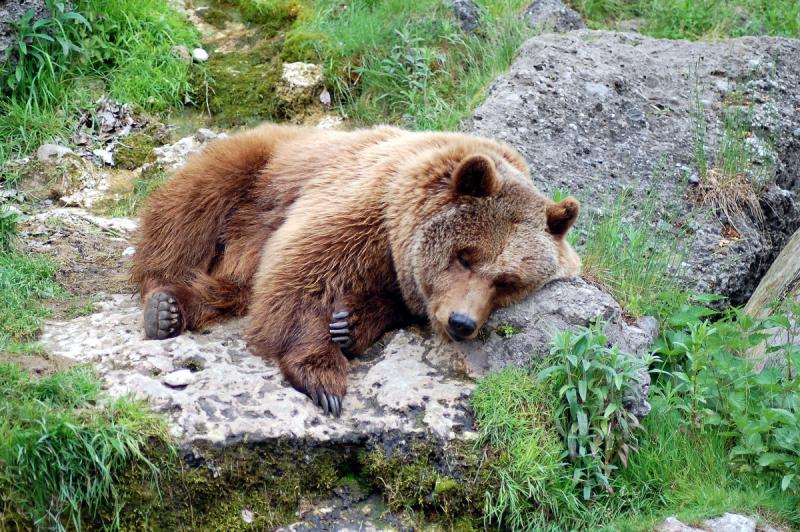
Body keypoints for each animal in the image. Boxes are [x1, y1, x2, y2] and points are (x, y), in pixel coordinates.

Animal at [133, 123, 580, 416]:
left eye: (507, 282)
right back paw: (163, 303)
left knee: (236, 286)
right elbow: (302, 274)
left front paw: (349, 324)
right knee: (190, 211)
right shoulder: (364, 203)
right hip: (258, 174)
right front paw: (323, 376)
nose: (461, 322)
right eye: (466, 256)